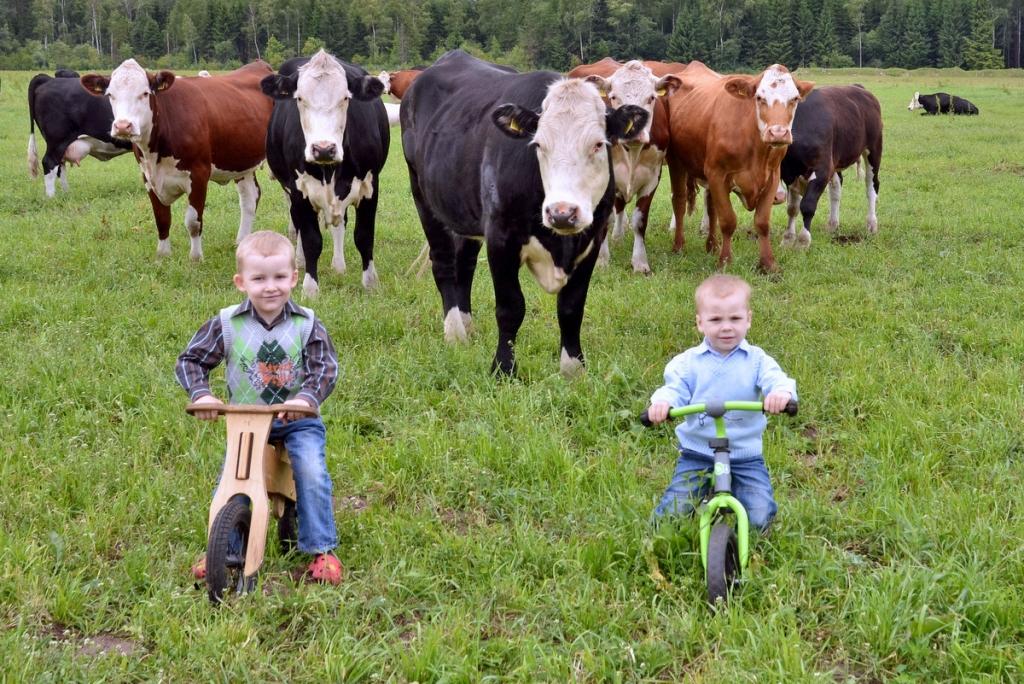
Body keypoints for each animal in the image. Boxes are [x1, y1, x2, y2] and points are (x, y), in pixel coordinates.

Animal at [80, 60, 274, 259]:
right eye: (110, 95)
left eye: (145, 93)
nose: (122, 126)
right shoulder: (148, 177)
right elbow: (162, 218)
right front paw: (162, 256)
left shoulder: (199, 174)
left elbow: (193, 222)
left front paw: (195, 258)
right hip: (242, 161)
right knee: (250, 198)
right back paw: (241, 242)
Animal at [262, 48, 389, 294]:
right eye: (299, 98)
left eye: (345, 98)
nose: (323, 148)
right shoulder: (299, 190)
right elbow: (311, 239)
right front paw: (310, 288)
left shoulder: (370, 186)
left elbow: (364, 236)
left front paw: (370, 282)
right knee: (298, 224)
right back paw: (300, 261)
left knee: (340, 224)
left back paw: (338, 265)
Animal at [399, 50, 647, 376]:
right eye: (539, 144)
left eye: (598, 144)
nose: (562, 213)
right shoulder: (500, 237)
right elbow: (510, 307)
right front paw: (503, 368)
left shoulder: (593, 237)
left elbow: (572, 307)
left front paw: (573, 369)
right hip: (423, 197)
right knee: (443, 264)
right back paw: (455, 332)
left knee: (464, 264)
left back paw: (467, 324)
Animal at [569, 58, 679, 272]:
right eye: (614, 97)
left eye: (651, 98)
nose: (633, 129)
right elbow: (604, 220)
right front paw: (601, 260)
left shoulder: (652, 178)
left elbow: (639, 221)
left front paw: (640, 262)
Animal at [663, 61, 815, 270]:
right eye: (759, 97)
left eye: (795, 98)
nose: (778, 133)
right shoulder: (717, 174)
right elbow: (728, 220)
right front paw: (725, 261)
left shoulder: (772, 177)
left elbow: (762, 223)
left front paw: (768, 264)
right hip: (676, 162)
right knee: (679, 201)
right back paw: (678, 246)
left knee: (711, 207)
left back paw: (712, 245)